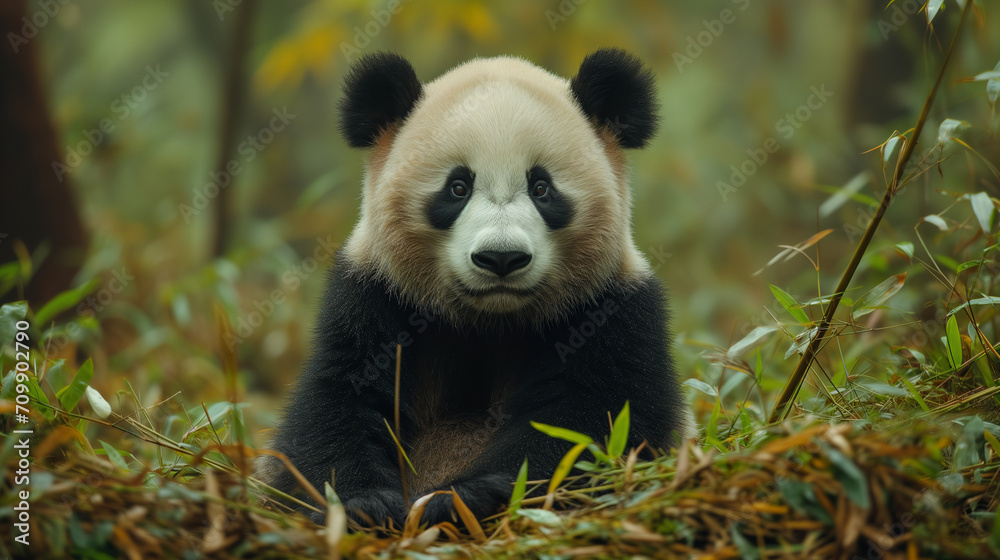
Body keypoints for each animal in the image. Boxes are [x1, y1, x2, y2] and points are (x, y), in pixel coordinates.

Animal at [261, 48, 692, 527]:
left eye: (541, 187)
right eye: (457, 187)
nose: (501, 258)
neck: (490, 319)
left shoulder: (611, 309)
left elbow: (589, 422)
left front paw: (464, 498)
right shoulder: (374, 297)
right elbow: (337, 406)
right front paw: (363, 504)